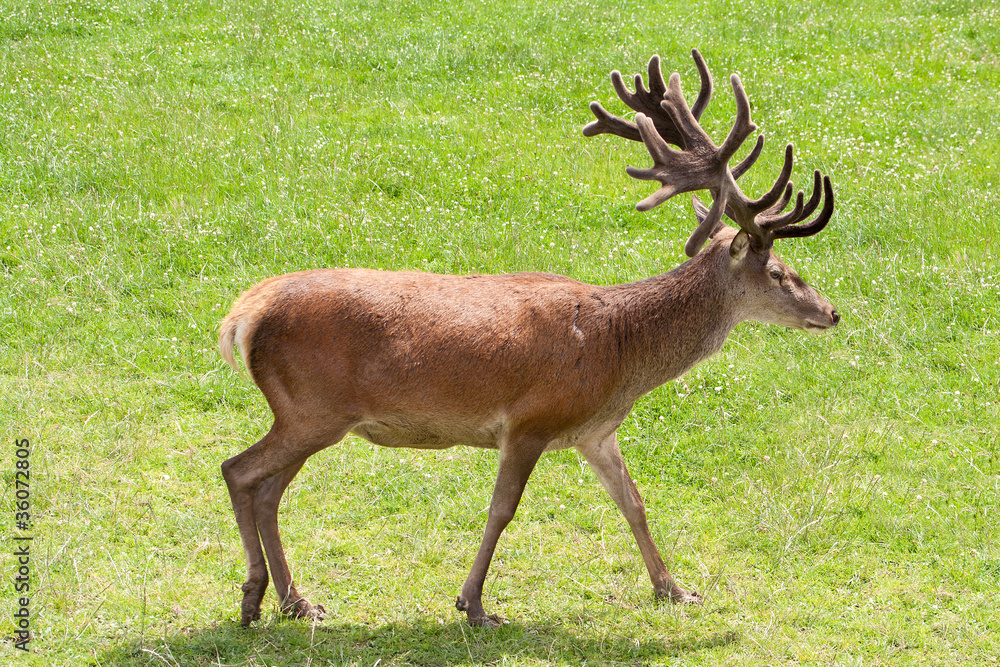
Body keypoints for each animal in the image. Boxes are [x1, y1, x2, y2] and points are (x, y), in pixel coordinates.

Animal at [217, 49, 839, 628]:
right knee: (239, 470)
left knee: (267, 488)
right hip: (311, 407)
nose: (830, 312)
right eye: (778, 271)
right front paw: (473, 604)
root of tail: (244, 313)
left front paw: (675, 589)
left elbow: (633, 502)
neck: (621, 354)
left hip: (312, 414)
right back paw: (255, 596)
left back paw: (295, 601)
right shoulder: (530, 419)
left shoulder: (596, 430)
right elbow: (502, 510)